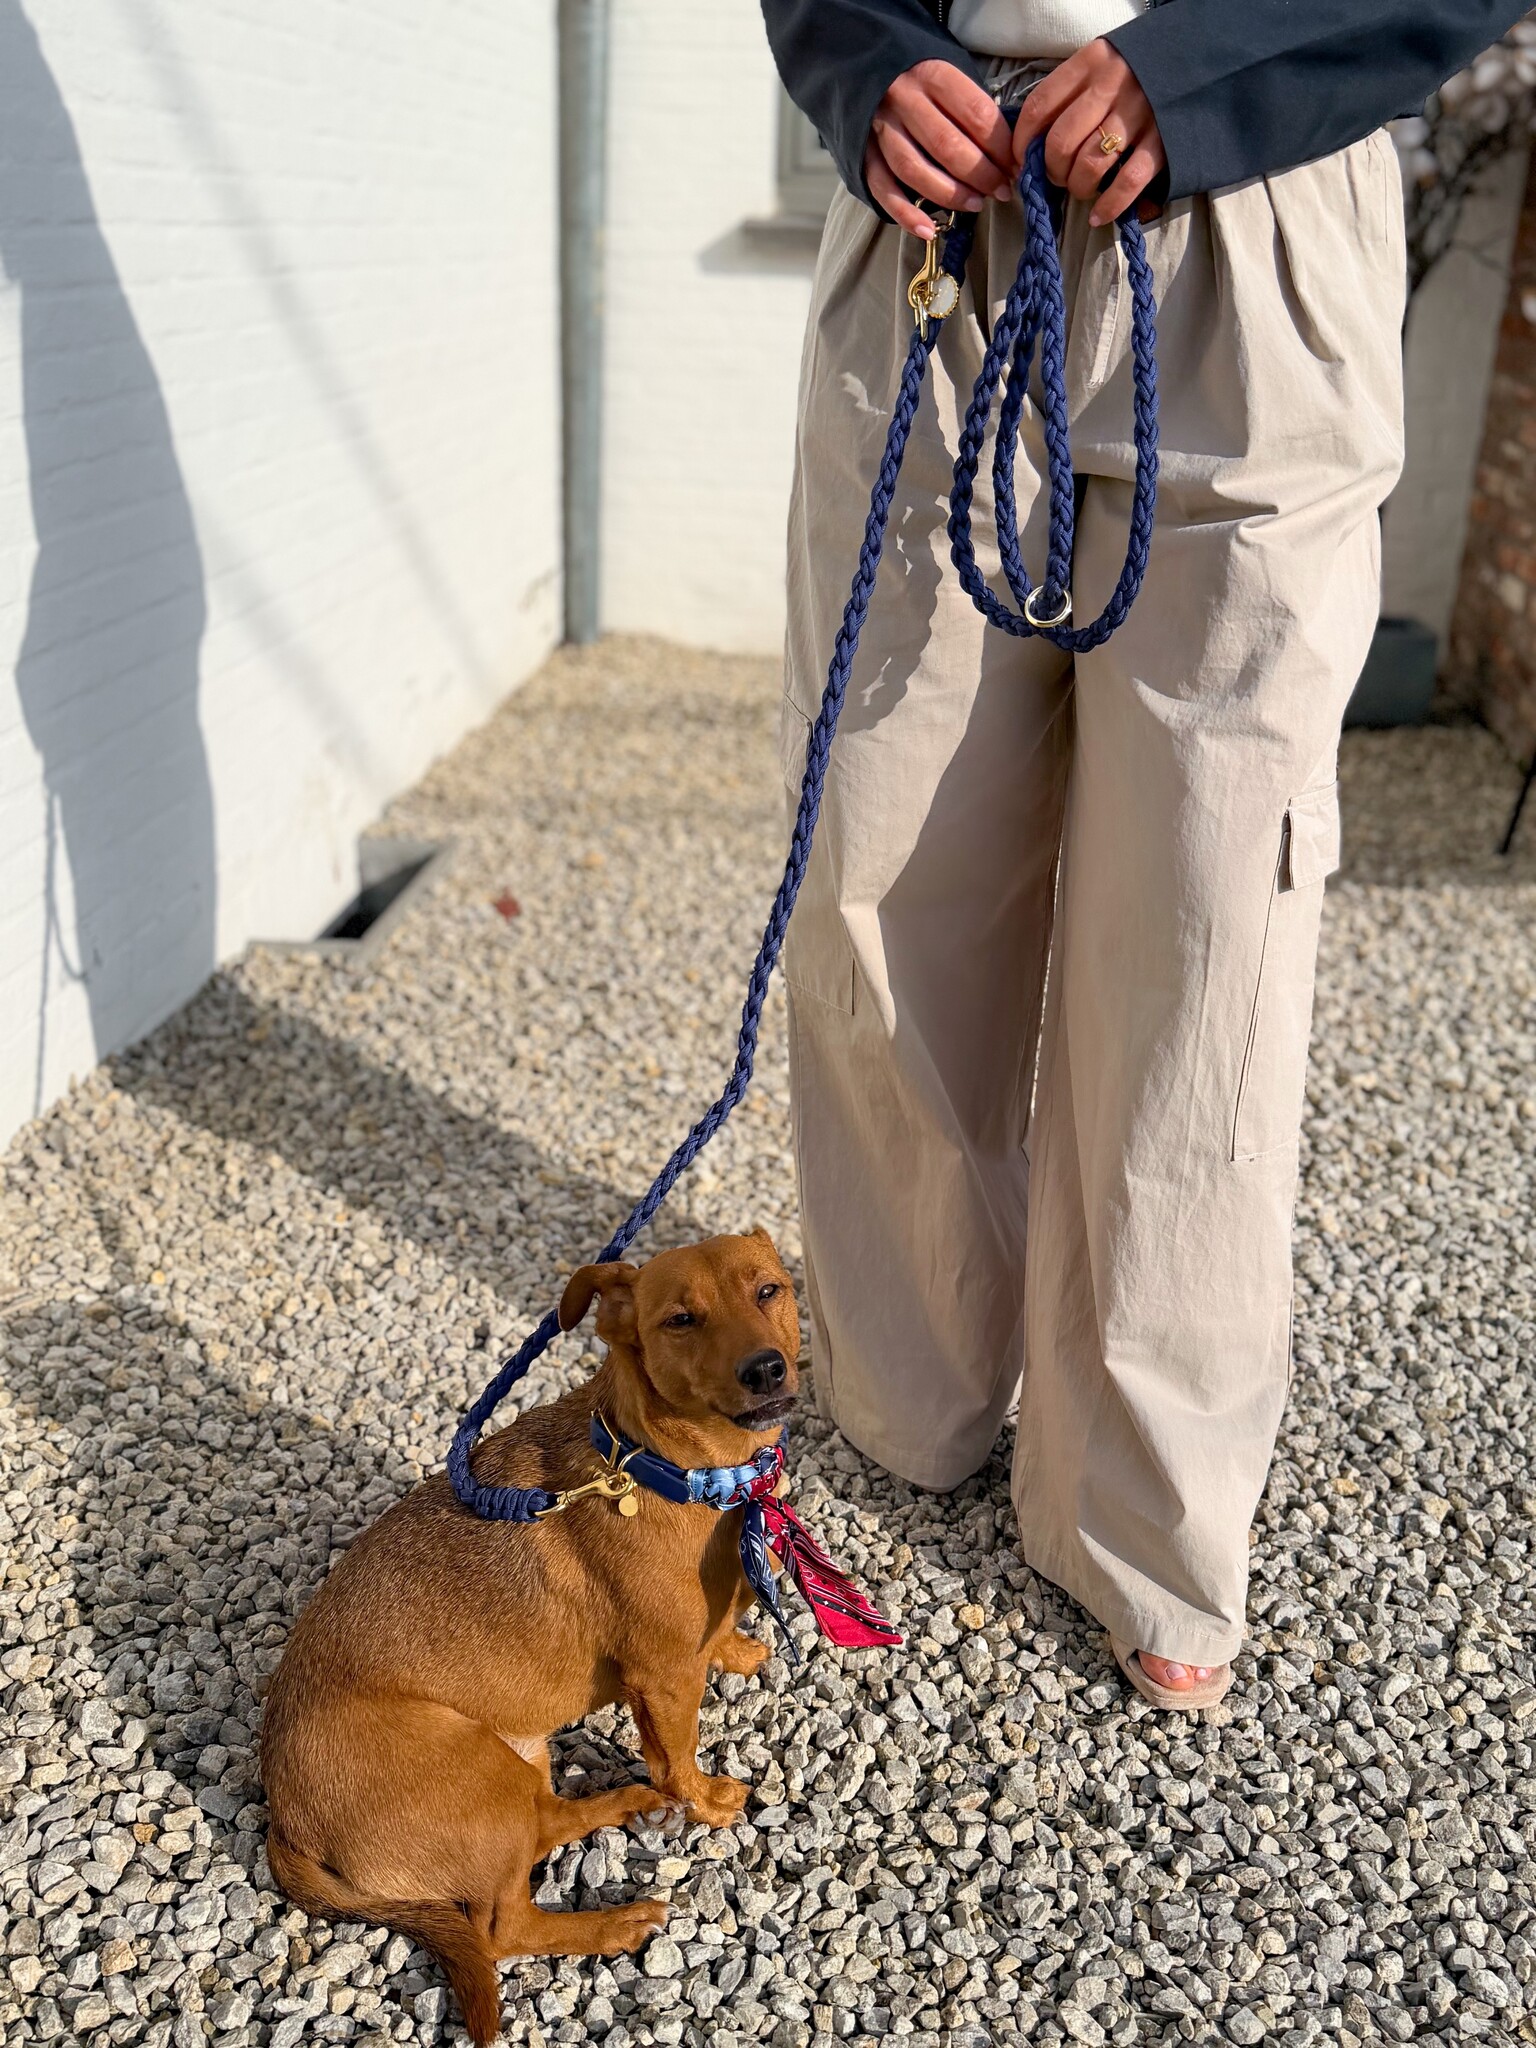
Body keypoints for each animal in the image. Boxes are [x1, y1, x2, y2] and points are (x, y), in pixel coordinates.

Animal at [259, 1227, 801, 2045]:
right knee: (501, 1929)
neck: (667, 1468)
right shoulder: (664, 1678)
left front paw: (737, 1649)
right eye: (681, 1320)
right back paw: (616, 1922)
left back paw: (625, 1805)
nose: (765, 1367)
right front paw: (708, 1801)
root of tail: (281, 1820)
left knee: (547, 1828)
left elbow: (722, 1636)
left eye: (768, 1289)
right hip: (480, 1778)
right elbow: (678, 1757)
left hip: (518, 1766)